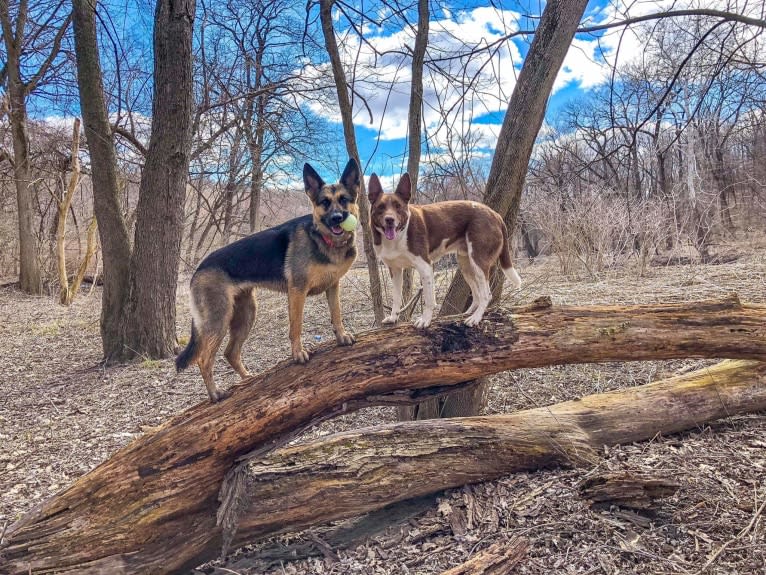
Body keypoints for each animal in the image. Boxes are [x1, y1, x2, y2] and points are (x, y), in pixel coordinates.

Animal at [178, 158, 362, 400]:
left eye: (344, 200)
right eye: (324, 202)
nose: (337, 219)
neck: (324, 240)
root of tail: (198, 269)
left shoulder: (333, 287)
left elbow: (337, 314)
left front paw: (341, 336)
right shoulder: (297, 291)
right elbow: (296, 326)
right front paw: (298, 353)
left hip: (246, 314)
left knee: (230, 353)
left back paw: (248, 379)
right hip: (219, 320)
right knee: (204, 359)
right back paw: (215, 394)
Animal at [368, 172, 520, 328]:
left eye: (398, 206)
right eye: (381, 207)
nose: (389, 220)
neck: (399, 235)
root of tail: (496, 215)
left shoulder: (425, 266)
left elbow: (429, 300)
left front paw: (425, 320)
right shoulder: (395, 270)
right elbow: (396, 298)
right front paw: (393, 318)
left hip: (478, 261)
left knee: (486, 295)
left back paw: (475, 318)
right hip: (465, 265)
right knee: (477, 295)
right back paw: (465, 314)